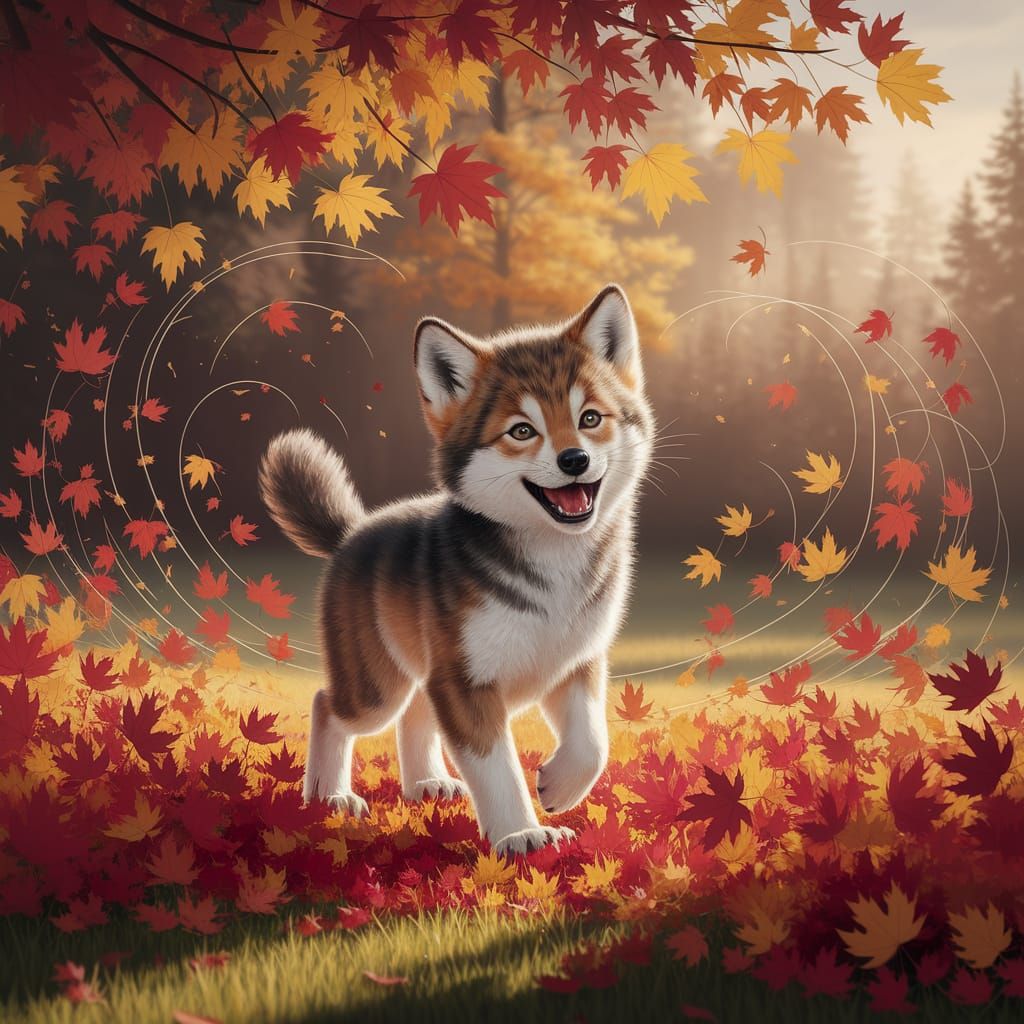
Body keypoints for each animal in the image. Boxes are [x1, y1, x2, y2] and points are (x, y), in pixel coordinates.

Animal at [258, 284, 653, 856]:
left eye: (590, 419)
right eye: (522, 431)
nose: (574, 460)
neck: (552, 565)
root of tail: (351, 533)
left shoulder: (575, 663)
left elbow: (593, 743)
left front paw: (558, 786)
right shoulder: (465, 683)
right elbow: (496, 768)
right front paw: (522, 835)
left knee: (414, 715)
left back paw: (426, 782)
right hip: (376, 687)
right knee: (328, 705)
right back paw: (330, 797)